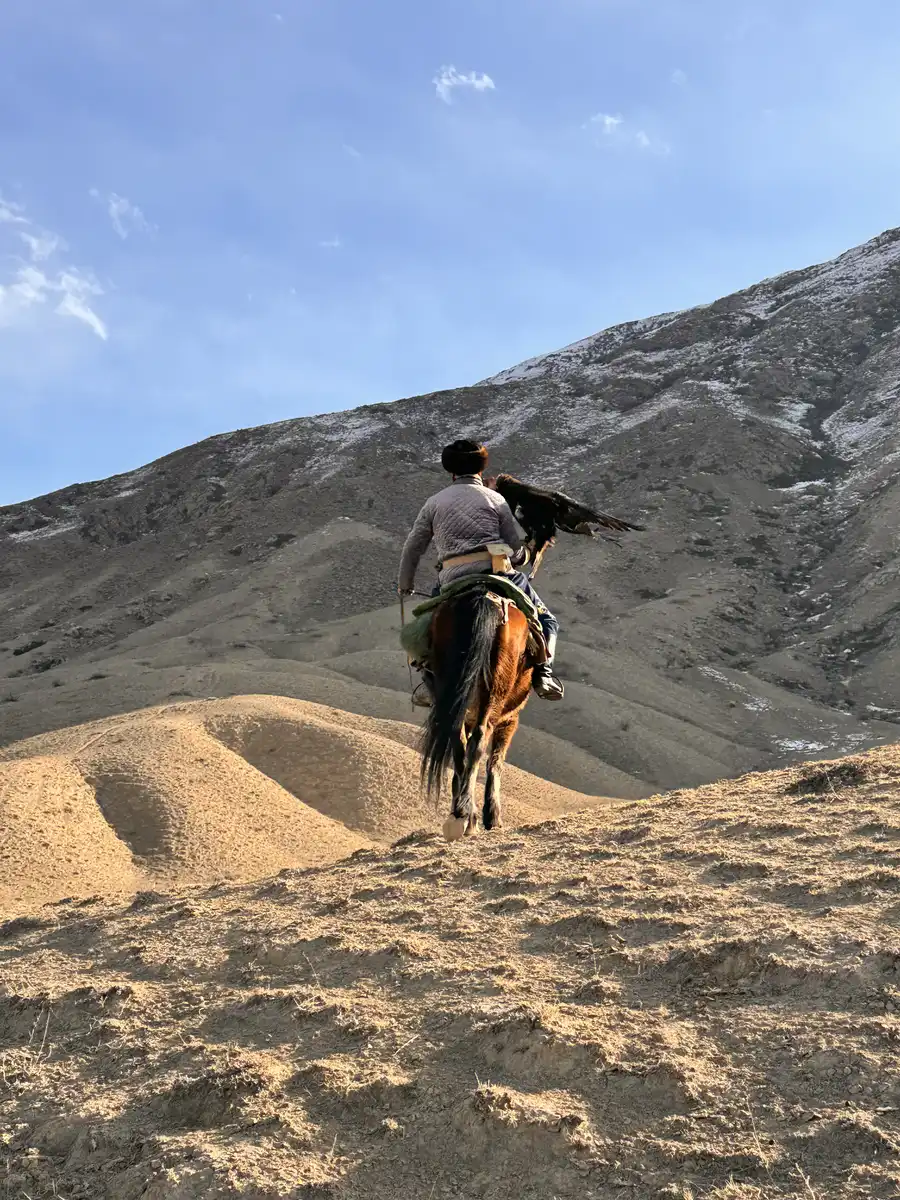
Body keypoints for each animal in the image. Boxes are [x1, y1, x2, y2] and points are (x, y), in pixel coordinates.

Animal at [419, 585, 533, 840]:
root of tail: (482, 598)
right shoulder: (510, 719)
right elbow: (496, 761)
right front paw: (493, 817)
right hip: (495, 693)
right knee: (480, 741)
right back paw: (469, 817)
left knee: (459, 742)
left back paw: (461, 814)